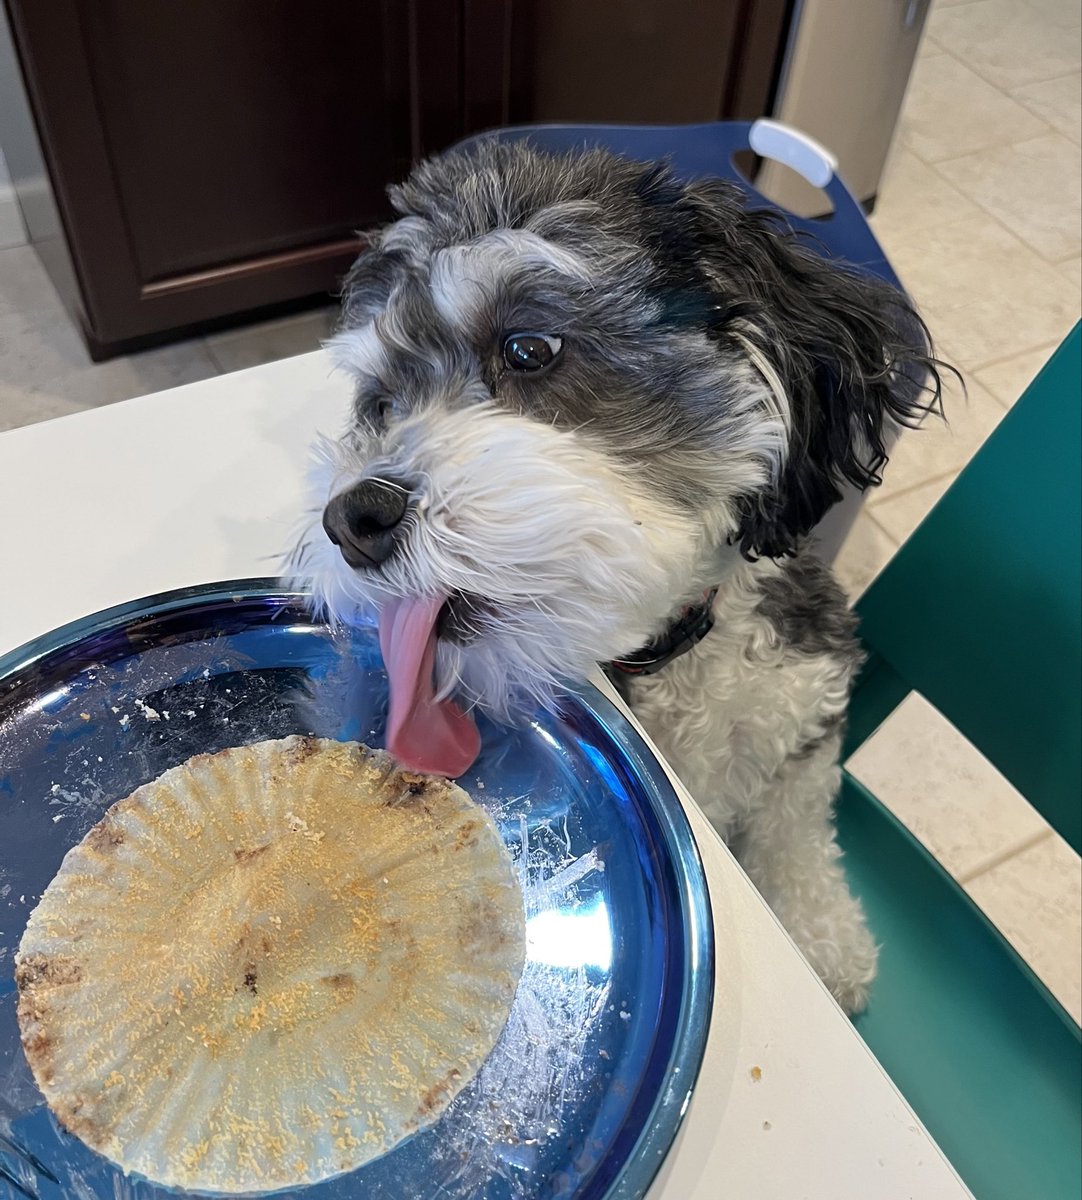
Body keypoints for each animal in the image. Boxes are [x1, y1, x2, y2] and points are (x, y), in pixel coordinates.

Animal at [290, 138, 950, 1012]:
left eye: (528, 348)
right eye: (381, 405)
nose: (353, 518)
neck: (664, 657)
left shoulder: (803, 716)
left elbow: (800, 828)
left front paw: (825, 940)